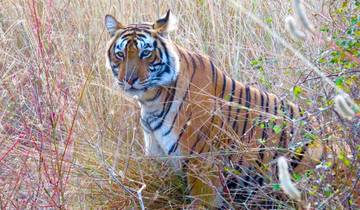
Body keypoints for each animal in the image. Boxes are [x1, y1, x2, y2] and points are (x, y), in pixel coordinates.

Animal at [103, 10, 324, 208]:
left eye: (146, 53)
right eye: (120, 54)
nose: (128, 80)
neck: (151, 101)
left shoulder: (202, 163)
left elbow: (201, 202)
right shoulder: (162, 161)